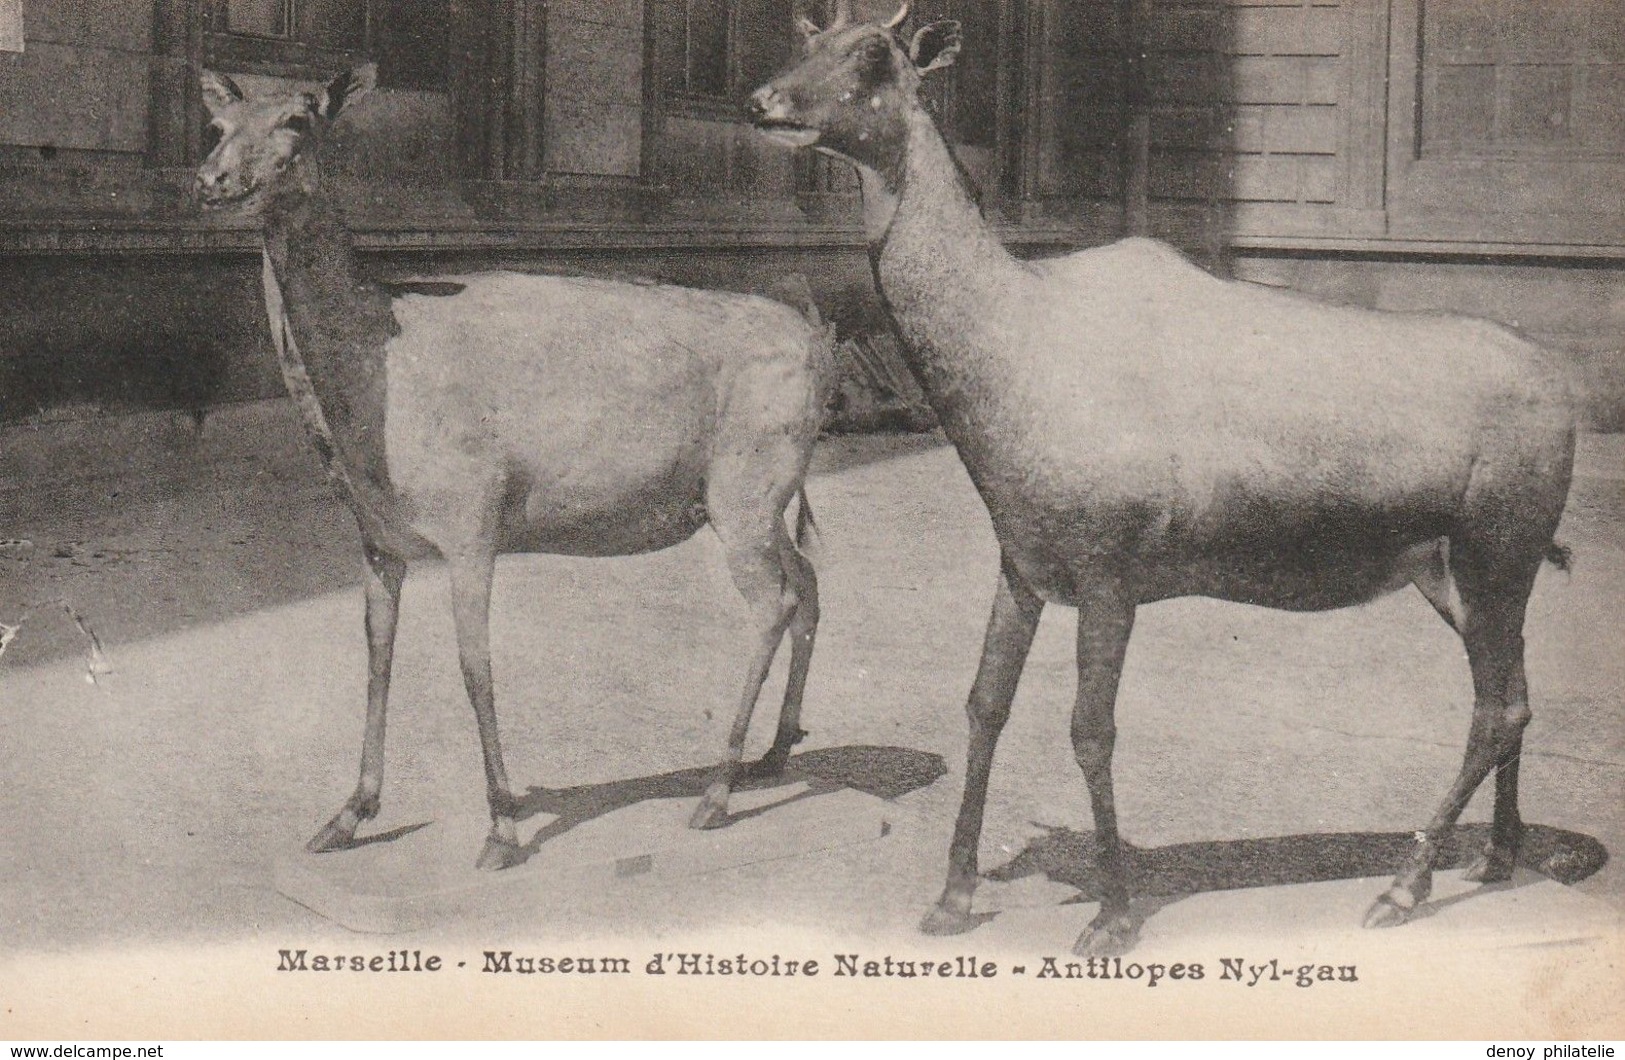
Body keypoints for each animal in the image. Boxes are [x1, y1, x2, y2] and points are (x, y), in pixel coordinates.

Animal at [199, 64, 838, 871]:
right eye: (219, 124)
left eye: (298, 119)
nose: (211, 179)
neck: (364, 404)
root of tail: (820, 345)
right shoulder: (376, 537)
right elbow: (377, 657)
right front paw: (346, 815)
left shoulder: (473, 514)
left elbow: (475, 665)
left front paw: (501, 825)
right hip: (761, 495)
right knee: (808, 579)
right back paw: (775, 752)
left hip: (748, 484)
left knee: (772, 602)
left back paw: (715, 790)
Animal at [747, 2, 1573, 962]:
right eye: (808, 36)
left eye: (874, 55)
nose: (764, 101)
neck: (1014, 345)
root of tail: (1558, 391)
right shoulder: (1023, 564)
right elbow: (984, 706)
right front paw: (951, 897)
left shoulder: (1111, 572)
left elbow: (1089, 730)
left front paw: (1110, 913)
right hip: (1450, 574)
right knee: (1515, 696)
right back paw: (1496, 856)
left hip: (1496, 553)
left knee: (1494, 710)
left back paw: (1403, 885)